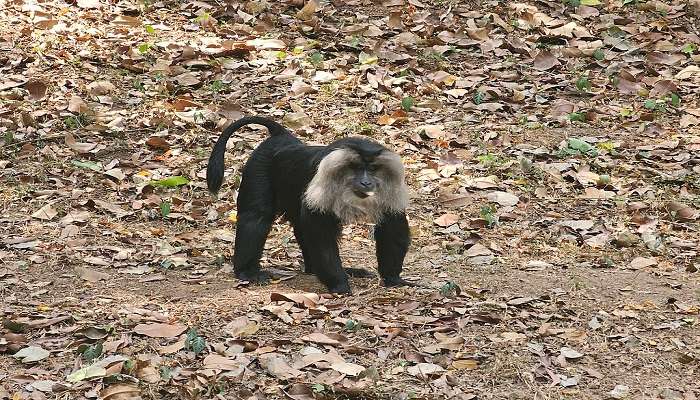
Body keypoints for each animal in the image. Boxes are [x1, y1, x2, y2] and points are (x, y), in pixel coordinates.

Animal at [207, 116, 412, 294]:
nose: (366, 183)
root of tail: (281, 137)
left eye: (372, 169)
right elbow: (320, 236)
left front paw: (393, 278)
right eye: (356, 168)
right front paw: (339, 284)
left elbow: (393, 227)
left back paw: (316, 269)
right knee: (255, 217)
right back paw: (247, 272)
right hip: (258, 167)